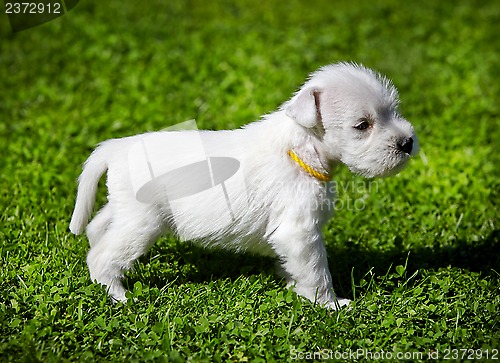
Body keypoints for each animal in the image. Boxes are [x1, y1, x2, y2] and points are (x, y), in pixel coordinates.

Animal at [68, 63, 416, 310]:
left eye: (393, 110)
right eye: (362, 125)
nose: (408, 142)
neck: (298, 149)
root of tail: (116, 148)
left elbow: (295, 265)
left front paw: (293, 286)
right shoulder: (300, 230)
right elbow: (317, 269)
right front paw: (329, 304)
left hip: (124, 210)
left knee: (98, 228)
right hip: (141, 223)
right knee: (102, 257)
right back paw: (118, 294)